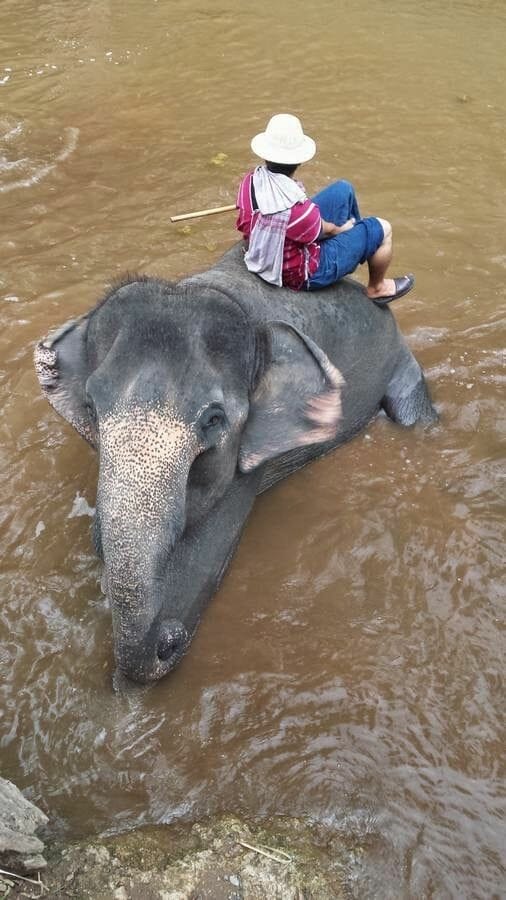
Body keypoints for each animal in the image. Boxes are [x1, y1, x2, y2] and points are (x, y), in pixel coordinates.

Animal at [34, 243, 436, 684]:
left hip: (397, 357)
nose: (168, 638)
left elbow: (208, 550)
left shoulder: (250, 458)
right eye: (91, 408)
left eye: (214, 420)